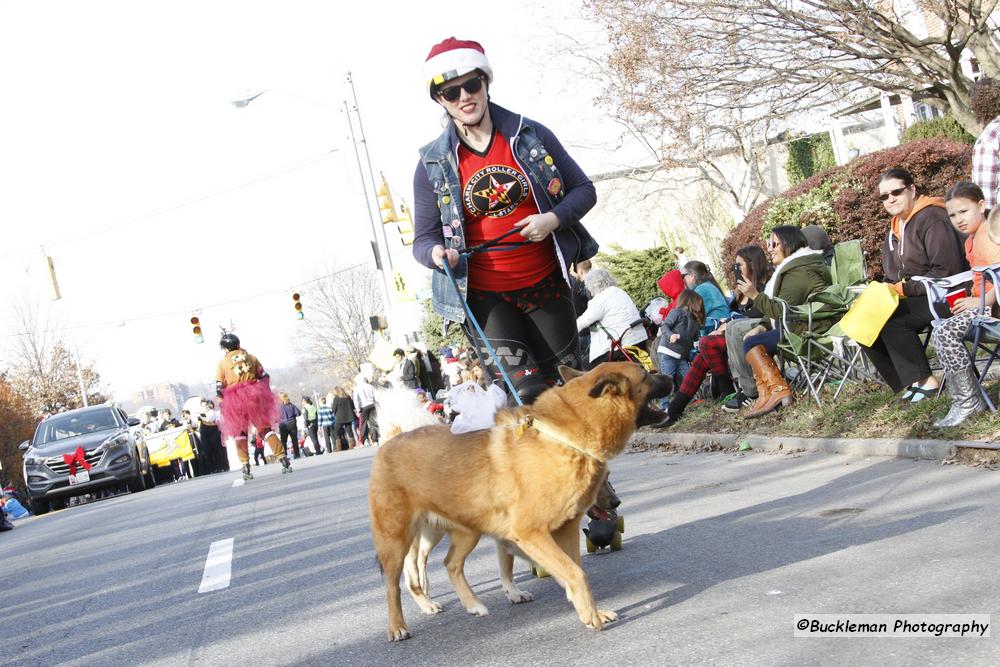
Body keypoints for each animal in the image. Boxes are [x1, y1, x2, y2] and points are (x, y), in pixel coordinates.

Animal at [370, 366, 672, 640]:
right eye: (645, 375)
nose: (670, 376)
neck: (563, 439)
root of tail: (391, 440)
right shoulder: (531, 534)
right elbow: (576, 574)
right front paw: (590, 615)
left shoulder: (564, 531)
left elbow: (572, 571)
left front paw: (588, 611)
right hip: (396, 541)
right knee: (395, 584)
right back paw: (398, 626)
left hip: (465, 532)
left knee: (449, 564)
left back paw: (470, 605)